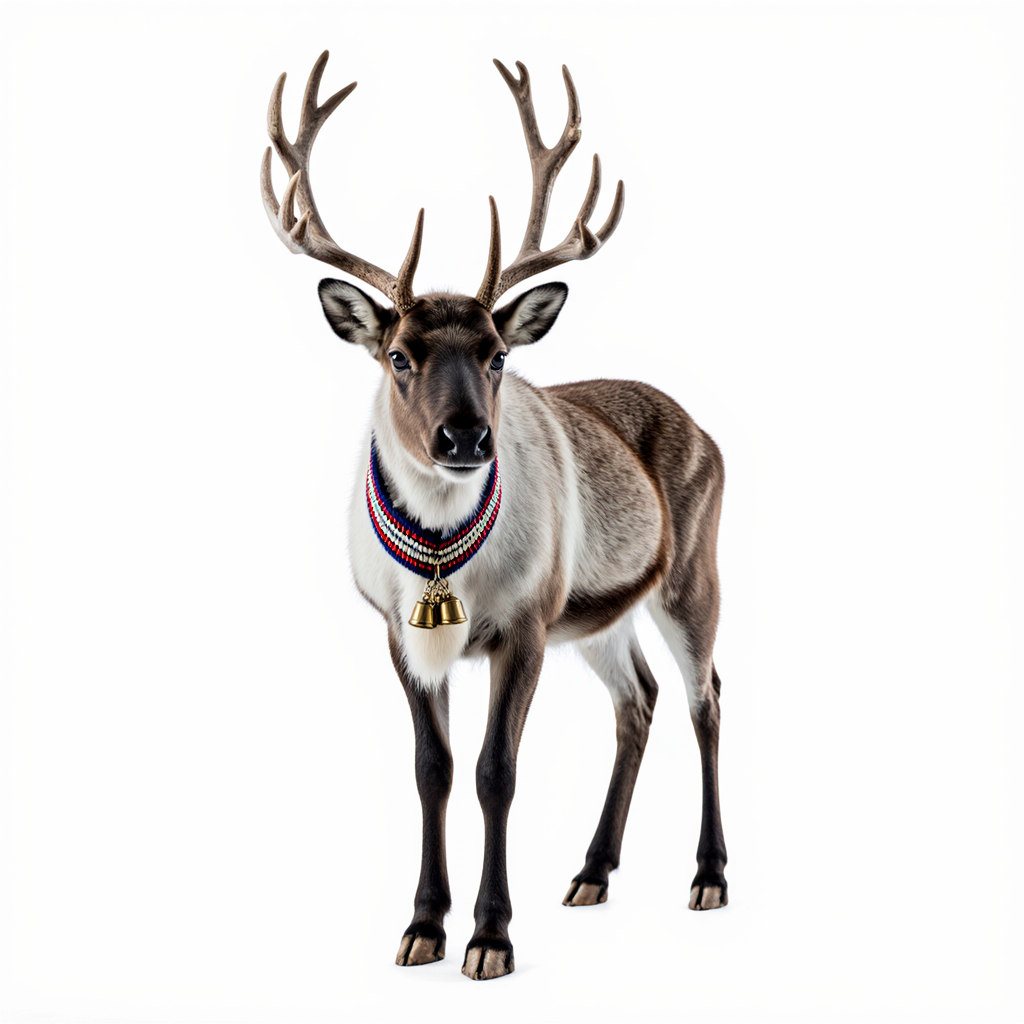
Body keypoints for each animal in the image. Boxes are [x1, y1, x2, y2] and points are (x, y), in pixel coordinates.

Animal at [261, 52, 729, 981]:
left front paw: (490, 936)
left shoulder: (526, 621)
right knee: (640, 698)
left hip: (692, 574)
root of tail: (709, 433)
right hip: (598, 616)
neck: (446, 569)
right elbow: (432, 769)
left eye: (499, 354)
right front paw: (422, 926)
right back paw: (592, 872)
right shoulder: (398, 630)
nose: (466, 436)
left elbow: (495, 771)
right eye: (399, 355)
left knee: (707, 698)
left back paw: (707, 876)